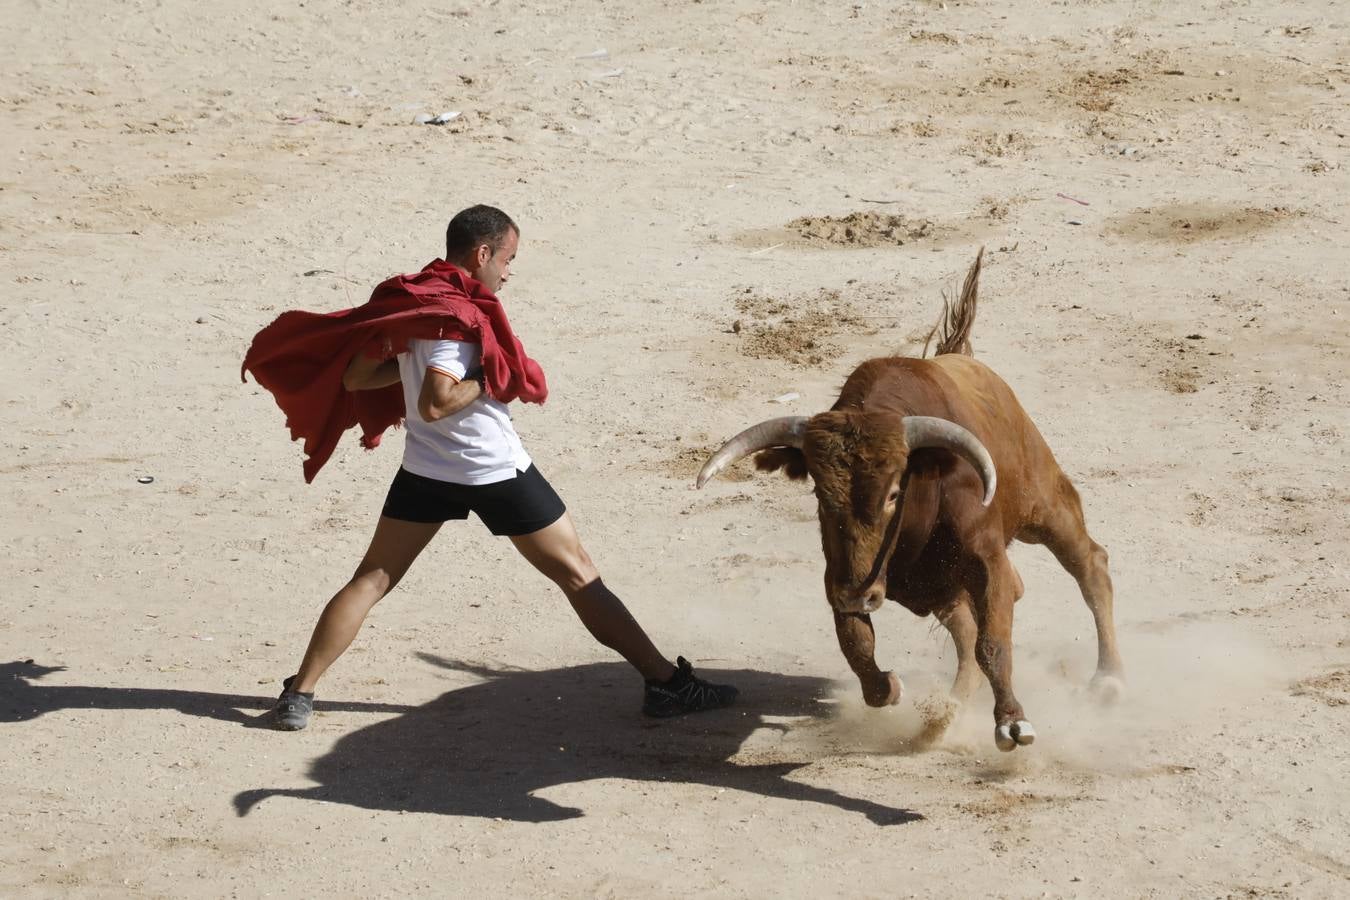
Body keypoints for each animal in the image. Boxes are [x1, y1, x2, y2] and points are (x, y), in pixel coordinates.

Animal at [702, 249, 1123, 750]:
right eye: (820, 493)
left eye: (893, 493)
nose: (858, 593)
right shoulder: (842, 576)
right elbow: (856, 641)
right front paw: (888, 687)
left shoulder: (985, 558)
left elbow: (993, 640)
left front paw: (1012, 721)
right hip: (938, 586)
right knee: (970, 623)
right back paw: (946, 714)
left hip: (1043, 501)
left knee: (1088, 564)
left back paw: (1108, 679)